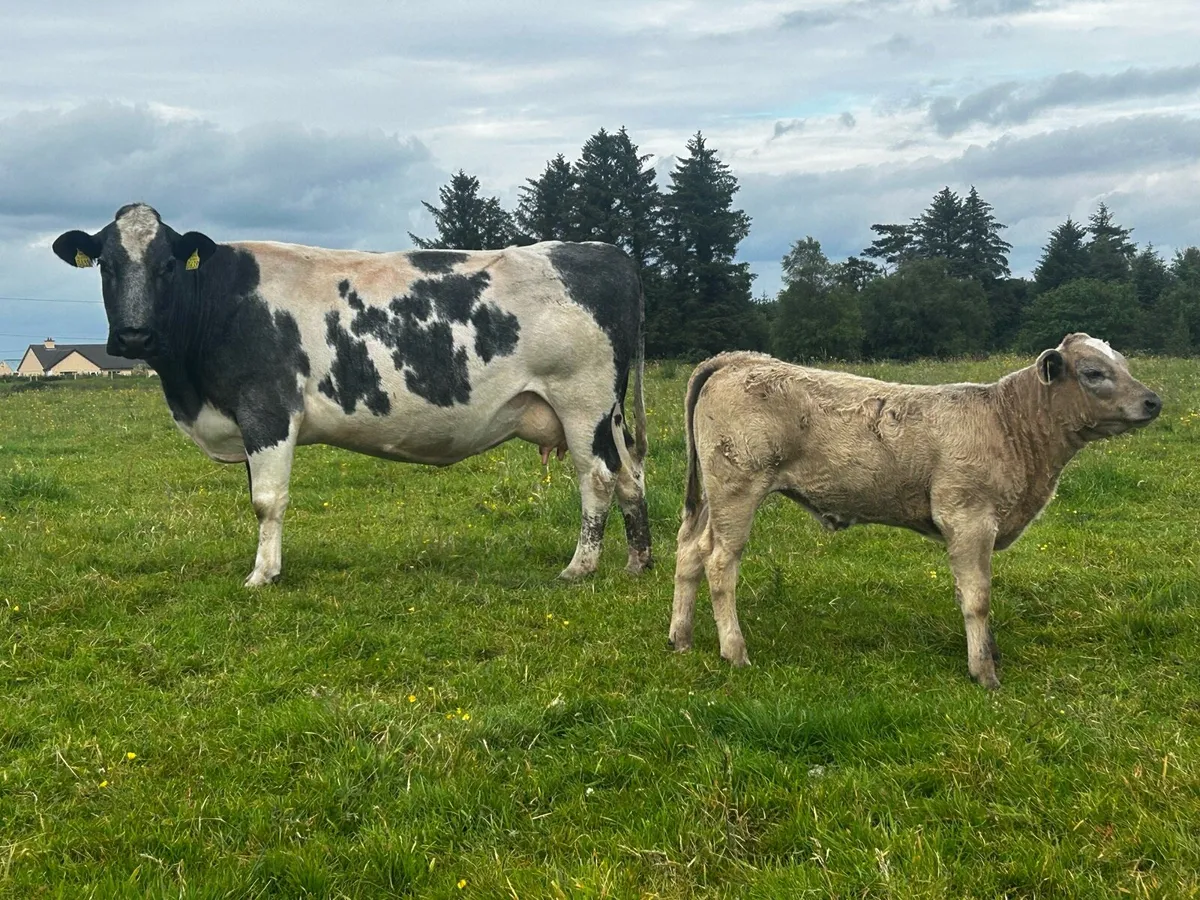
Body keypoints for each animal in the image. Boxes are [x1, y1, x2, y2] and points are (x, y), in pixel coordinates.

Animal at [52, 203, 651, 585]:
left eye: (168, 264)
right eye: (107, 264)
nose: (134, 336)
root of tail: (604, 252)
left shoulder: (267, 409)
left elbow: (266, 499)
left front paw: (262, 575)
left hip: (581, 401)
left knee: (598, 478)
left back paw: (580, 567)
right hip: (609, 413)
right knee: (632, 475)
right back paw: (638, 561)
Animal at [669, 336, 1161, 689]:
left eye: (1125, 364)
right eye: (1095, 372)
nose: (1153, 401)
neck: (1007, 424)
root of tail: (737, 359)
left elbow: (972, 594)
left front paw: (990, 655)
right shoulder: (968, 517)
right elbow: (978, 598)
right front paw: (984, 673)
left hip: (711, 497)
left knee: (690, 552)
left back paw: (682, 639)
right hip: (738, 488)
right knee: (720, 563)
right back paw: (734, 651)